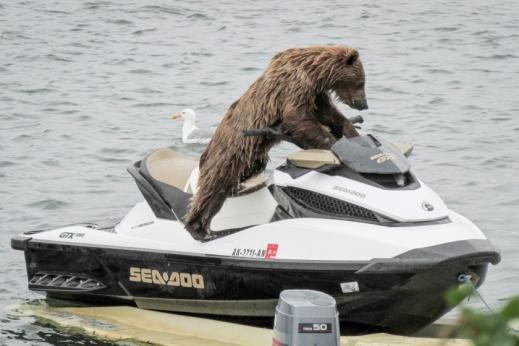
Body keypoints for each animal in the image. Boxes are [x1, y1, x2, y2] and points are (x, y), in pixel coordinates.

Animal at [185, 45, 368, 241]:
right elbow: (297, 117)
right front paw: (332, 145)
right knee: (211, 189)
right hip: (226, 156)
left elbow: (329, 114)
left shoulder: (315, 94)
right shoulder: (295, 86)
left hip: (251, 158)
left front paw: (352, 132)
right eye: (361, 82)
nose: (364, 104)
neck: (314, 72)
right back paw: (197, 229)